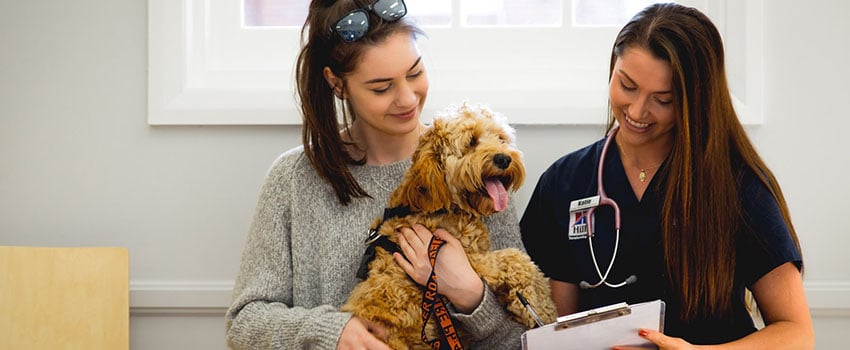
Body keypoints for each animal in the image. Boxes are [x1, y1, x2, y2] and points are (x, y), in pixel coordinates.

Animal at [340, 102, 556, 348]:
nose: (504, 159)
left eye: (501, 138)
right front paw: (543, 308)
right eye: (471, 141)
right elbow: (518, 260)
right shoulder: (468, 259)